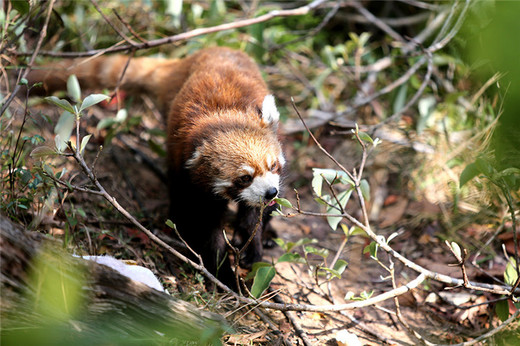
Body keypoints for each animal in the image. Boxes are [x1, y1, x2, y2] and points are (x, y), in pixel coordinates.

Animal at [26, 47, 286, 288]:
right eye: (244, 178)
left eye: (273, 165)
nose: (270, 192)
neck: (224, 116)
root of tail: (193, 56)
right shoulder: (192, 176)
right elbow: (207, 226)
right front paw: (223, 274)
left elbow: (253, 216)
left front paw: (252, 247)